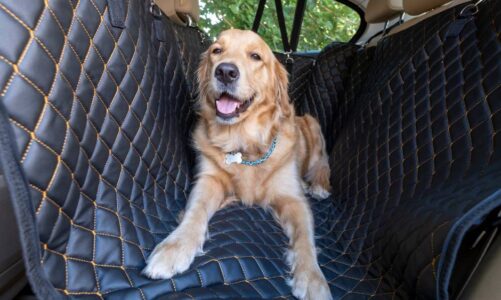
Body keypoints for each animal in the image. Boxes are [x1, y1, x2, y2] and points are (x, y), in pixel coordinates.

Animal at [143, 28, 332, 300]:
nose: (225, 71)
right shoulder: (208, 180)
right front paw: (175, 247)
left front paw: (313, 279)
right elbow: (195, 212)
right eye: (217, 50)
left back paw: (317, 186)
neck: (243, 144)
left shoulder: (294, 200)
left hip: (313, 125)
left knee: (323, 166)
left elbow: (305, 238)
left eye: (255, 56)